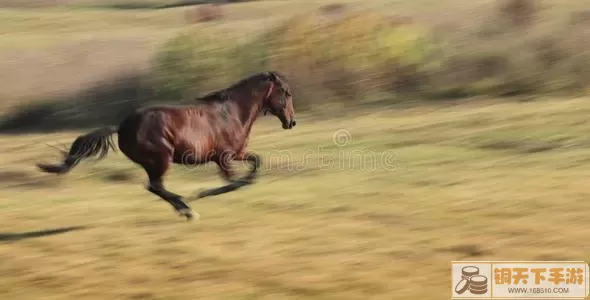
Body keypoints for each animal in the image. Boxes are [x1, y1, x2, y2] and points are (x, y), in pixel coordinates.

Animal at [35, 71, 296, 219]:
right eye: (286, 92)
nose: (291, 122)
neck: (231, 113)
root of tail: (121, 127)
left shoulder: (237, 154)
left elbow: (255, 163)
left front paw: (249, 180)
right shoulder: (223, 157)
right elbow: (232, 183)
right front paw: (201, 194)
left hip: (155, 161)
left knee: (154, 186)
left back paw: (183, 207)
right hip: (161, 158)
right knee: (154, 186)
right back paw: (187, 208)